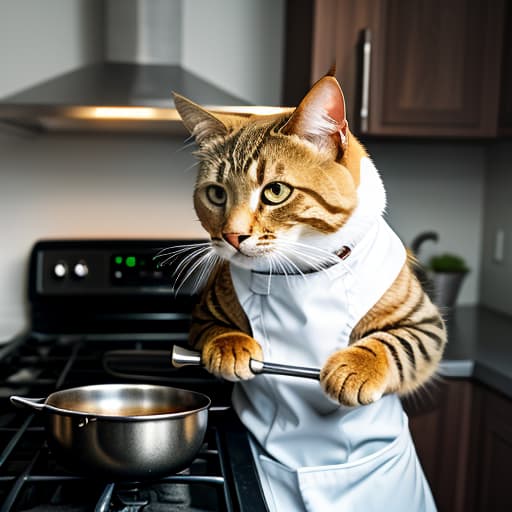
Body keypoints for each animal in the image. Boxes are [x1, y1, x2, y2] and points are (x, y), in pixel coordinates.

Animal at [174, 73, 446, 512]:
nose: (231, 236)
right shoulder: (204, 312)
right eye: (216, 194)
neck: (303, 273)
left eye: (275, 192)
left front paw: (356, 367)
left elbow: (397, 343)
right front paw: (231, 347)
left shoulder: (425, 323)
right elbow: (214, 330)